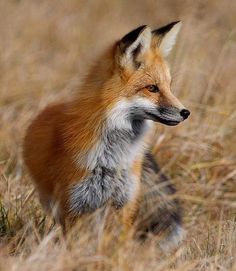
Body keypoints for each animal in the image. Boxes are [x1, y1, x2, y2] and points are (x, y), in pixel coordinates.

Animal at [23, 21, 190, 246]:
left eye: (169, 86)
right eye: (152, 88)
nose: (185, 112)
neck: (112, 158)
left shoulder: (124, 202)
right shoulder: (74, 205)